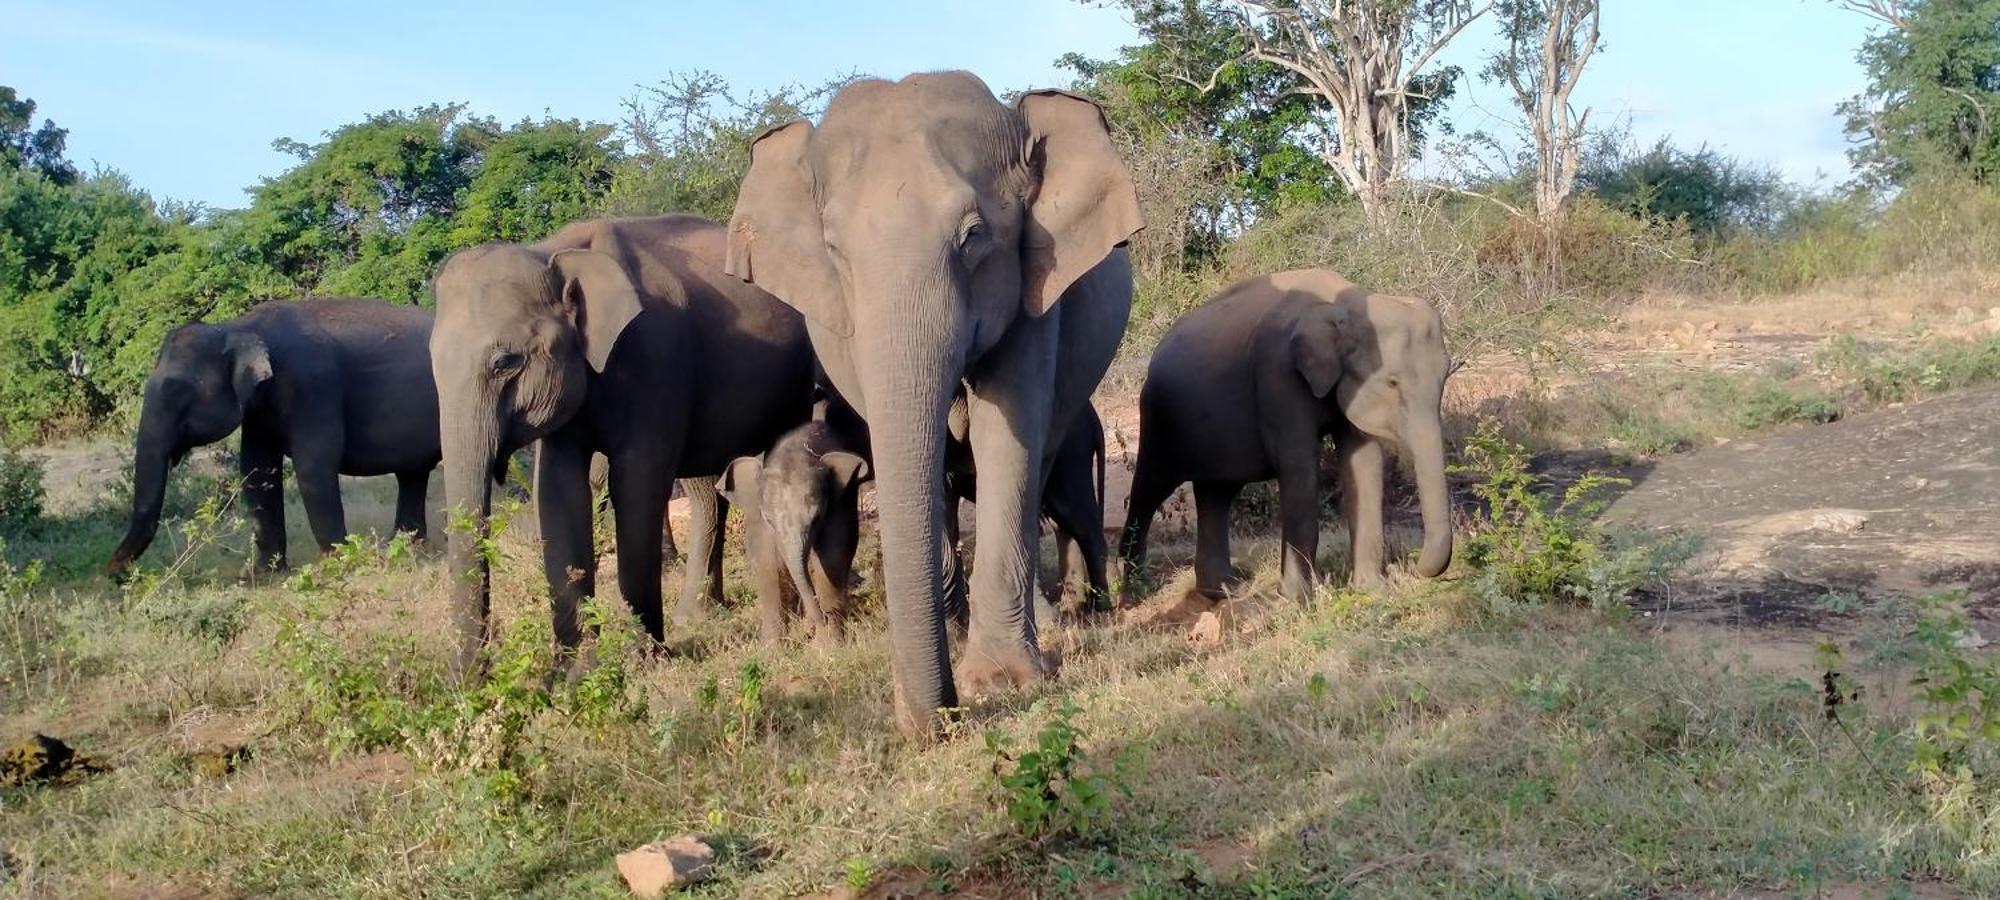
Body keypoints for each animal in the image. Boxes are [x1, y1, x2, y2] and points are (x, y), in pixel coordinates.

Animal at [103, 296, 440, 576]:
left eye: (176, 391)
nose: (114, 575)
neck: (237, 326)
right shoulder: (258, 411)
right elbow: (256, 470)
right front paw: (263, 574)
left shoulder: (313, 387)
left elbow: (314, 467)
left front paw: (339, 565)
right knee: (412, 474)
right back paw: (409, 548)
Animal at [432, 214, 812, 672]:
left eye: (506, 362)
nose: (475, 679)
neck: (550, 252)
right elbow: (557, 491)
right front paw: (575, 672)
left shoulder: (655, 353)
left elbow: (637, 483)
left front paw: (644, 660)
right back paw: (698, 616)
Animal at [724, 422, 872, 648]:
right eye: (769, 520)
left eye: (817, 518)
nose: (820, 622)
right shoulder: (756, 514)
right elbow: (768, 561)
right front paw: (772, 649)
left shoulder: (842, 500)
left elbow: (833, 554)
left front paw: (828, 647)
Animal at [1120, 268, 1448, 604]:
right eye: (1392, 382)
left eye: (1445, 376)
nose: (1413, 566)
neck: (1345, 303)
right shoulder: (1278, 373)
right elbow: (1298, 465)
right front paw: (1296, 599)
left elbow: (1364, 462)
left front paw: (1373, 591)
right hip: (1158, 418)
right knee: (1150, 489)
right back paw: (1137, 592)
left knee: (1217, 494)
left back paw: (1223, 590)